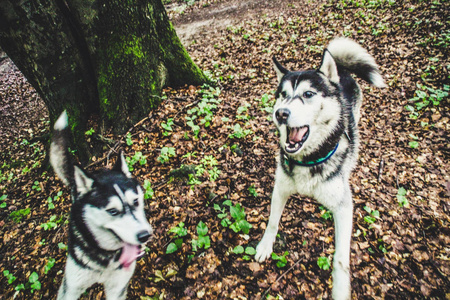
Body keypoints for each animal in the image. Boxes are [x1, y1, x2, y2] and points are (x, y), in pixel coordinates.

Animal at [50, 111, 153, 298]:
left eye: (135, 201)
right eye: (112, 211)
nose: (144, 235)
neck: (106, 258)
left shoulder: (117, 289)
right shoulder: (70, 289)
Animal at [255, 37, 384, 298]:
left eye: (308, 94)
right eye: (283, 95)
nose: (280, 113)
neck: (309, 158)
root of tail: (339, 70)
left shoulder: (344, 208)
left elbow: (340, 259)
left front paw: (340, 289)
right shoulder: (281, 188)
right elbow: (272, 221)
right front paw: (265, 245)